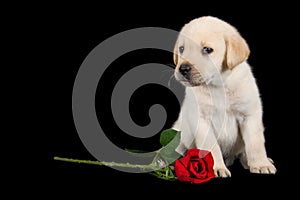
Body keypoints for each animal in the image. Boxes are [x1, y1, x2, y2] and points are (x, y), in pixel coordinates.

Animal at [172, 16, 276, 177]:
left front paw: (260, 164)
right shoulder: (202, 120)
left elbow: (255, 144)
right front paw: (217, 168)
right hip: (179, 134)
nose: (182, 68)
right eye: (181, 49)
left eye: (207, 50)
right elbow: (211, 148)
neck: (218, 86)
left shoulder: (249, 115)